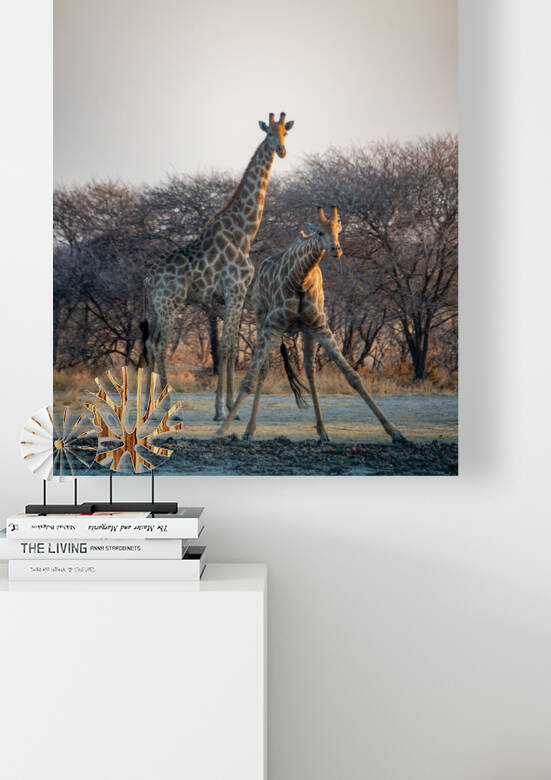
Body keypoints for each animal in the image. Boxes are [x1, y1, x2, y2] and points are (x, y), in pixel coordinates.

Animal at [144, 112, 294, 420]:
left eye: (285, 132)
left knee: (150, 343)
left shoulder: (235, 295)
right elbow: (225, 348)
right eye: (269, 134)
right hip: (171, 305)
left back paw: (148, 407)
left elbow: (233, 348)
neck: (245, 232)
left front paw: (230, 408)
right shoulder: (235, 291)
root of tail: (149, 279)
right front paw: (221, 410)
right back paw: (169, 408)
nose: (282, 150)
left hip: (155, 307)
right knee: (161, 346)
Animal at [216, 206, 407, 443]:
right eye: (320, 232)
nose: (336, 249)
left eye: (338, 230)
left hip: (306, 331)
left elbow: (352, 376)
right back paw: (249, 429)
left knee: (309, 369)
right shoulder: (272, 325)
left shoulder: (320, 326)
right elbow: (249, 379)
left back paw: (322, 430)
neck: (300, 278)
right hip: (261, 318)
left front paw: (395, 431)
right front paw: (222, 429)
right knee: (264, 369)